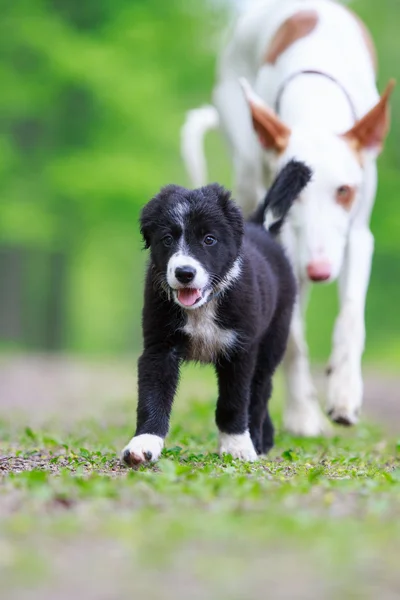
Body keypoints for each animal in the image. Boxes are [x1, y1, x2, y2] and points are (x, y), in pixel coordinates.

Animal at [122, 162, 312, 466]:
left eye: (209, 239)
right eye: (167, 239)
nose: (184, 273)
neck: (202, 307)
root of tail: (260, 227)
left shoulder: (241, 350)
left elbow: (234, 401)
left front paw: (236, 445)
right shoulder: (159, 348)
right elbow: (152, 397)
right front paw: (143, 444)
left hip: (273, 340)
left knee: (260, 392)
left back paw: (257, 439)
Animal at [181, 0, 394, 434]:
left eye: (344, 191)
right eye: (297, 194)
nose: (319, 270)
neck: (316, 105)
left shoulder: (357, 235)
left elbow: (351, 317)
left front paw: (344, 391)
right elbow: (292, 334)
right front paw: (303, 412)